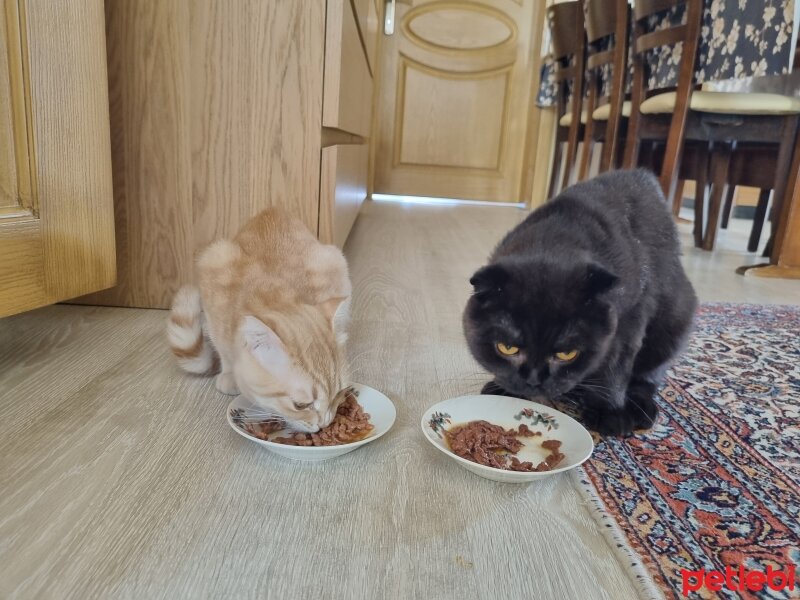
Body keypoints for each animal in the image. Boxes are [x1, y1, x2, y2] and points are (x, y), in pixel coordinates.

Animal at [167, 210, 352, 432]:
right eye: (301, 405)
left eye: (338, 394)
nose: (325, 424)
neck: (273, 294)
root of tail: (272, 210)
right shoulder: (213, 304)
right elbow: (223, 352)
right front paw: (230, 374)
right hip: (215, 253)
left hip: (334, 259)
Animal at [460, 169, 696, 436]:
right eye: (507, 348)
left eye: (567, 354)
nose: (533, 380)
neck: (553, 243)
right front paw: (505, 391)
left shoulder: (629, 320)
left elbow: (613, 368)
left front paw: (609, 411)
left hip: (674, 323)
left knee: (647, 378)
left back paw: (640, 409)